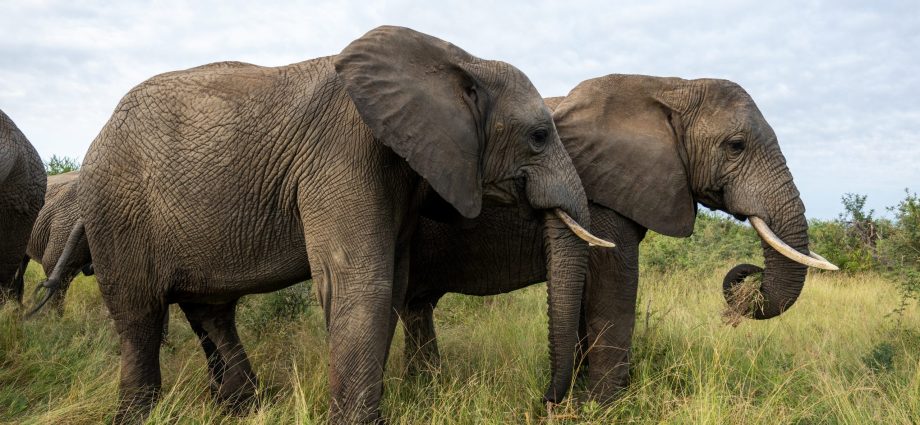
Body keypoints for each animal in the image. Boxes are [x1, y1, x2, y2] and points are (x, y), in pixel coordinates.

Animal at [73, 26, 610, 423]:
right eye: (539, 136)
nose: (548, 402)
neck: (460, 60)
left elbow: (393, 284)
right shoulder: (344, 153)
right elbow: (362, 285)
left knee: (211, 310)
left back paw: (240, 408)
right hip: (116, 211)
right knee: (140, 319)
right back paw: (140, 415)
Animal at [400, 74, 837, 403]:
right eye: (736, 146)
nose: (749, 274)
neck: (671, 88)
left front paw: (582, 397)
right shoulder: (600, 194)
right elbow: (614, 285)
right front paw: (603, 406)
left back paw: (424, 389)